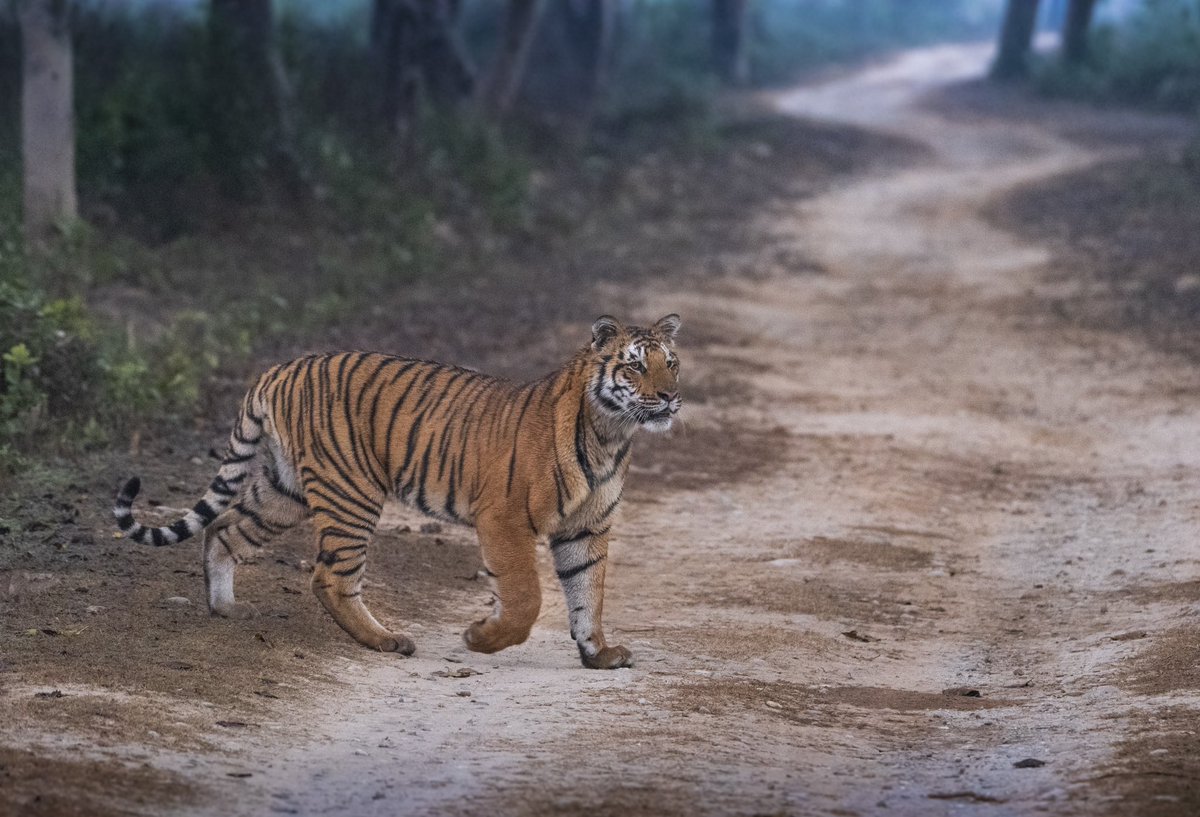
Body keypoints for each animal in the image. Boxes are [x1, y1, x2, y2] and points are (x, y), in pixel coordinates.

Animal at [113, 314, 686, 667]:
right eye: (636, 364)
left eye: (672, 362)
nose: (669, 398)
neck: (611, 433)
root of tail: (278, 369)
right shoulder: (504, 518)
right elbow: (526, 597)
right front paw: (481, 638)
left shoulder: (587, 528)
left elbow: (588, 592)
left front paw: (598, 655)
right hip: (351, 493)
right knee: (330, 576)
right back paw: (385, 640)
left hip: (283, 490)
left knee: (223, 530)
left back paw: (227, 609)